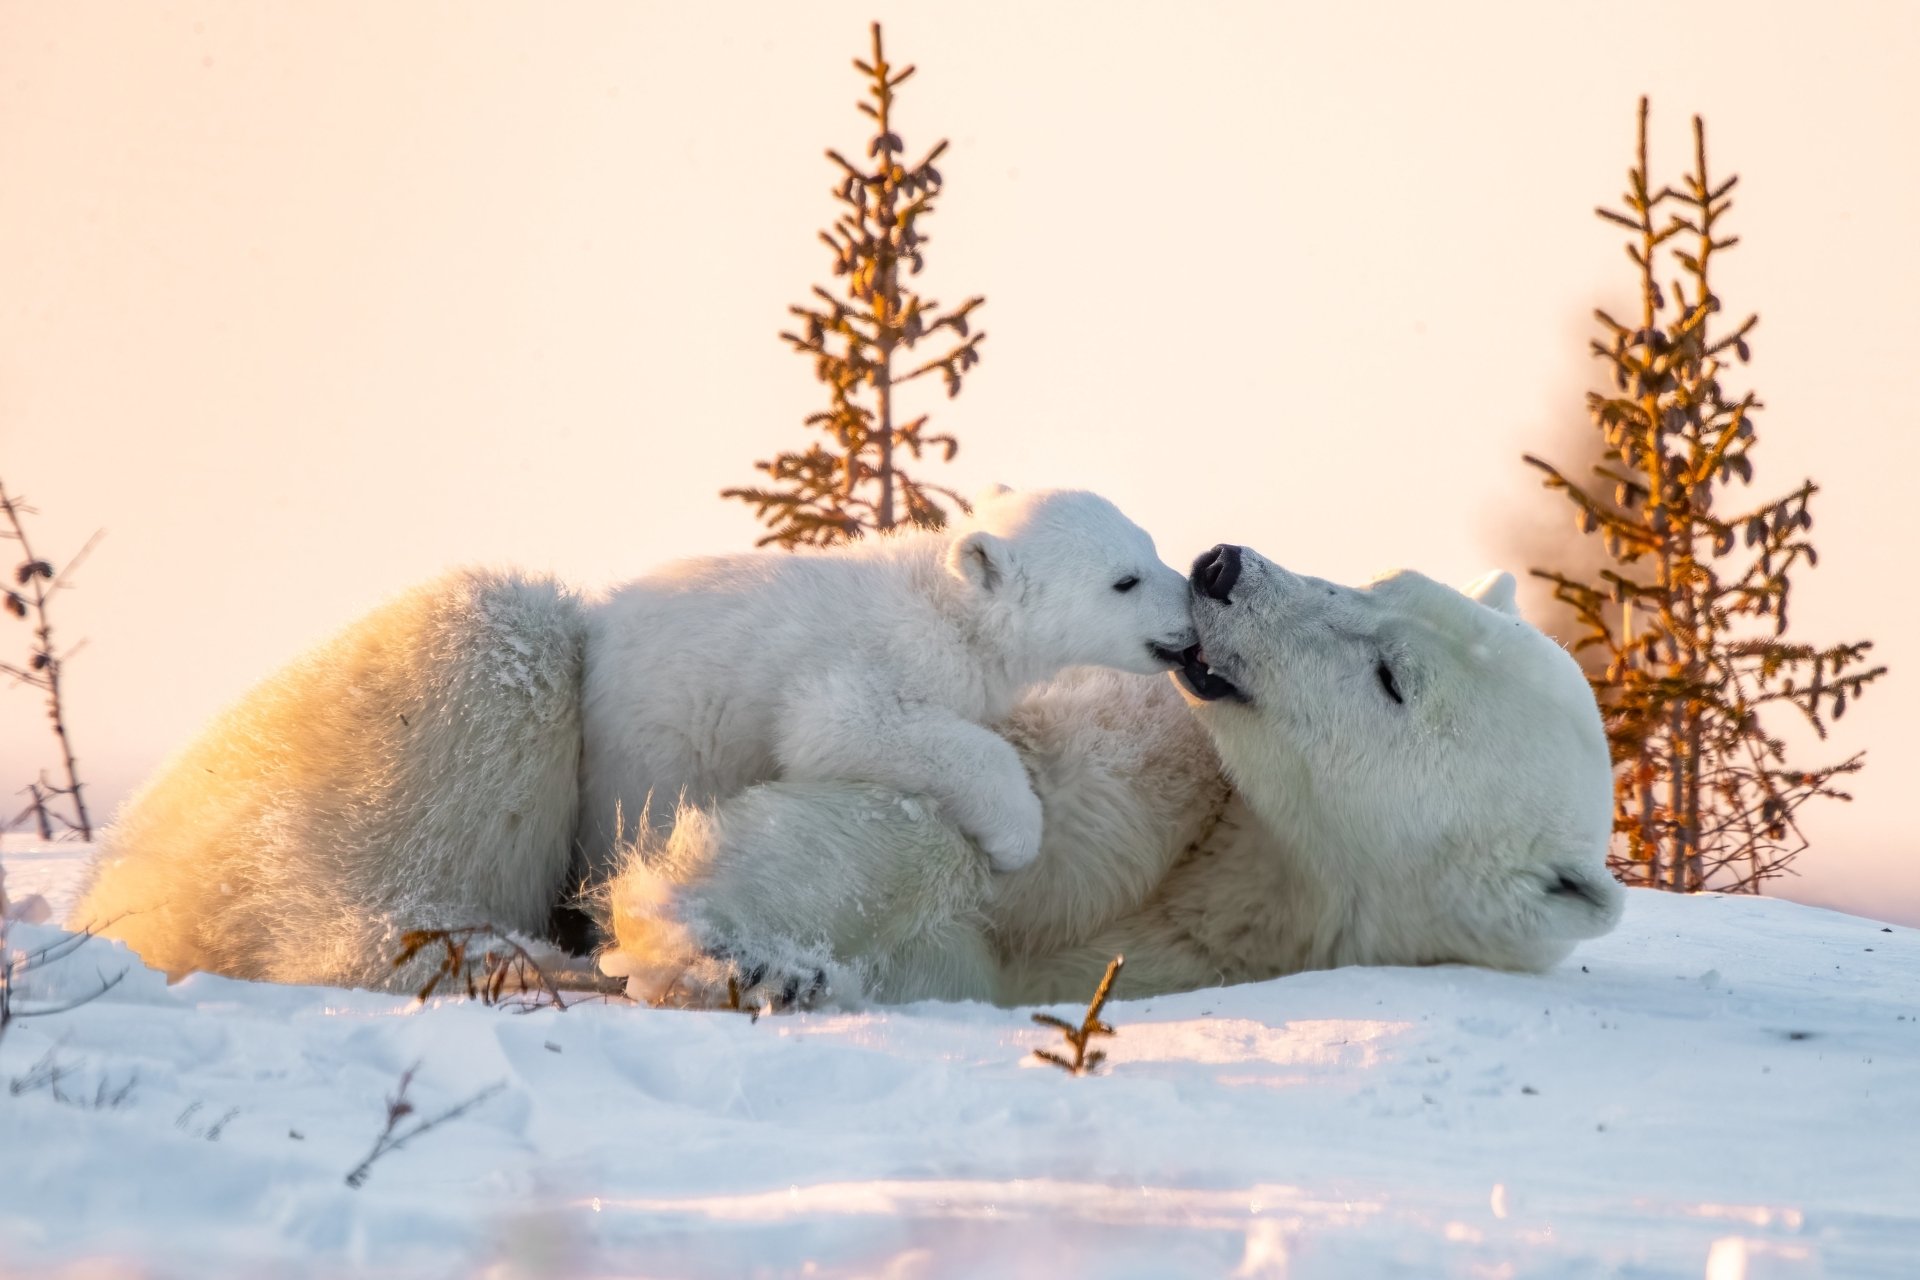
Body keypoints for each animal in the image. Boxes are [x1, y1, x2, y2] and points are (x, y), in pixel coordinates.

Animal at [577, 487, 1196, 875]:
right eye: (1125, 580)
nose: (1193, 602)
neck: (947, 607)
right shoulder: (869, 660)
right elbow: (840, 728)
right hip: (654, 745)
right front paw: (1014, 838)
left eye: (1151, 546)